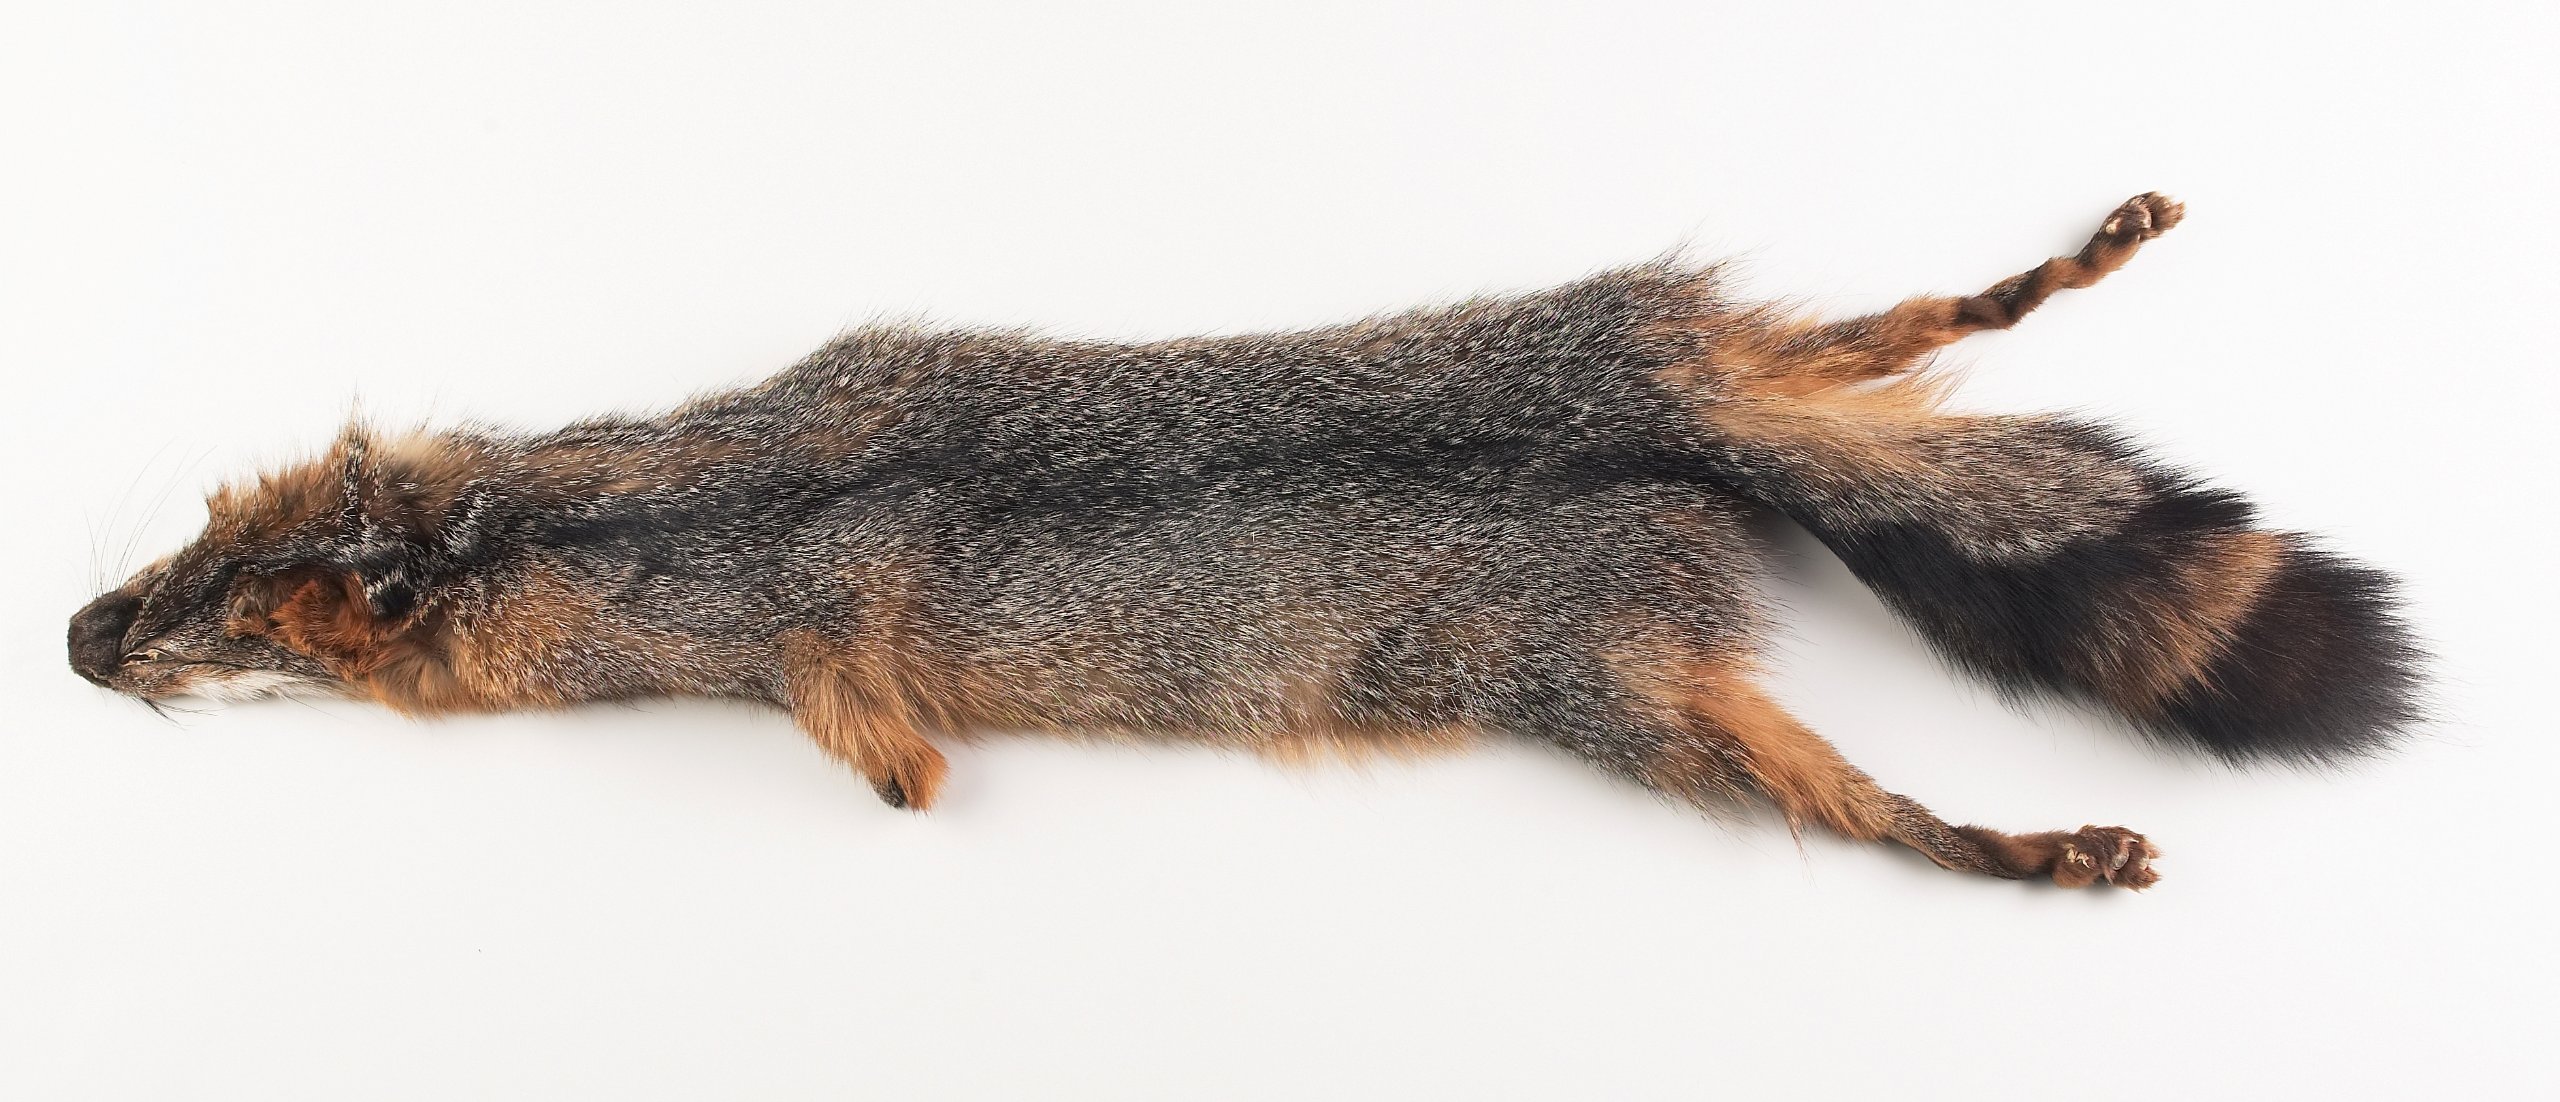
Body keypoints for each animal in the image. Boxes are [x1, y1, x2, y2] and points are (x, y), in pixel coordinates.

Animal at [67, 193, 2422, 889]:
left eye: (221, 631)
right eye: (187, 553)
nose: (78, 634)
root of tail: (1678, 478)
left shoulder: (824, 643)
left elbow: (880, 747)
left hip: (1629, 654)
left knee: (1875, 761)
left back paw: (2031, 839)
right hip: (1664, 386)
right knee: (1884, 350)